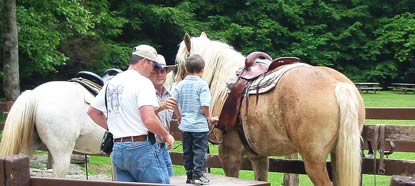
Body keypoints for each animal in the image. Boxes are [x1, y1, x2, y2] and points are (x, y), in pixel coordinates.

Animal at [176, 32, 368, 185]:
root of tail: (338, 85)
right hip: (339, 155)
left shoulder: (229, 155)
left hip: (314, 161)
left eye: (178, 65)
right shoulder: (258, 156)